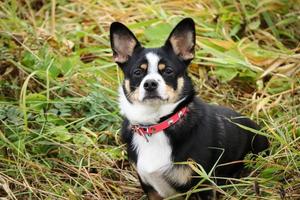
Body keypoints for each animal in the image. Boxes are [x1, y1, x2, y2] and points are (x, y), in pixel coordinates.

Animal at [109, 18, 268, 199]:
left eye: (168, 71)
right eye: (137, 72)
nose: (150, 84)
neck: (157, 125)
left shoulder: (202, 186)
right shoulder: (149, 187)